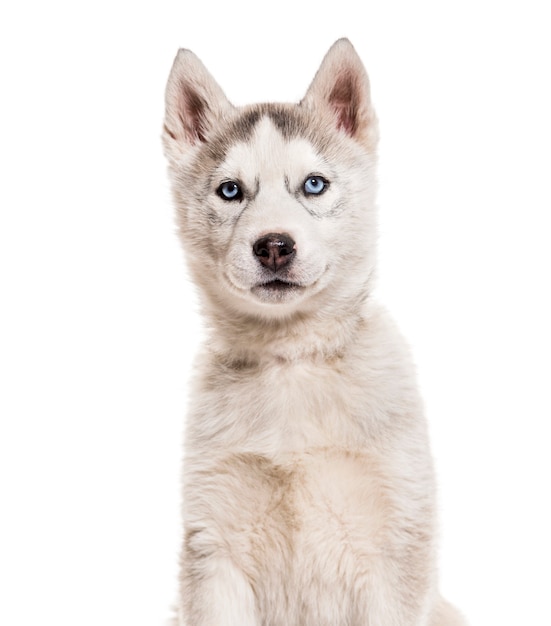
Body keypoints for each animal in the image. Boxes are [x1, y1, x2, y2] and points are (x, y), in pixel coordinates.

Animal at [161, 40, 466, 624]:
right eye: (230, 191)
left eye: (314, 185)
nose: (274, 246)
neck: (291, 360)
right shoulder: (214, 550)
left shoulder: (394, 550)